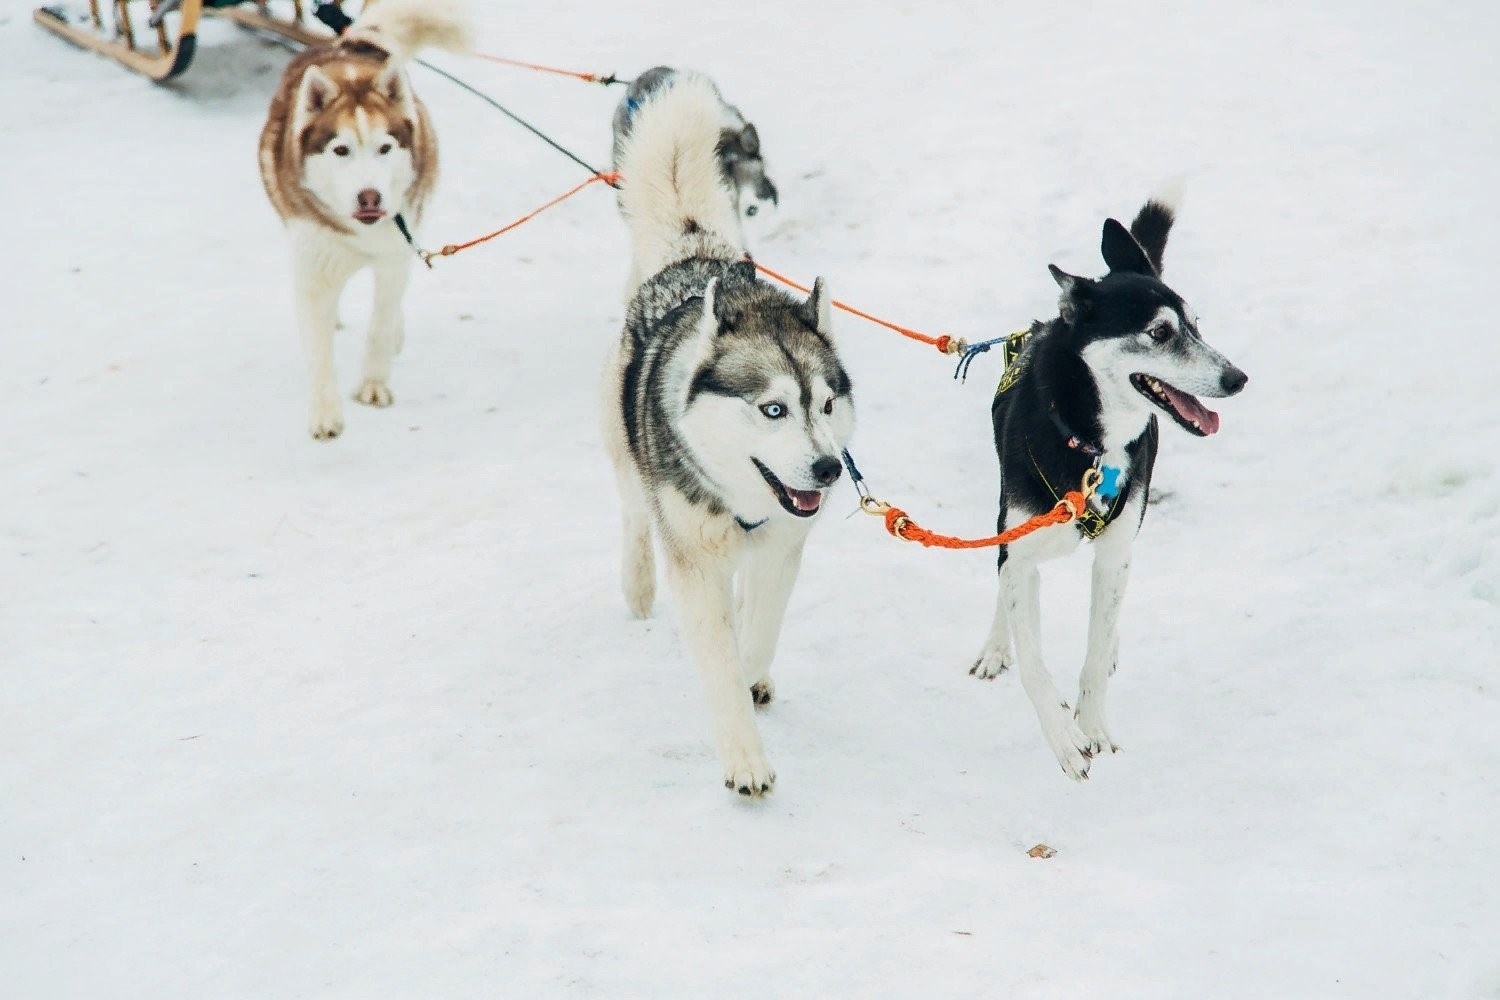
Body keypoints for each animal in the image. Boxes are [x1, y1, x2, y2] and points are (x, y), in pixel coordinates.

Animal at [966, 191, 1248, 779]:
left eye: (1197, 325)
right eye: (1160, 333)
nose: (1237, 378)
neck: (1091, 445)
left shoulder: (1116, 549)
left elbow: (1093, 655)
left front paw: (1092, 727)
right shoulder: (1019, 545)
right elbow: (1032, 657)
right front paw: (1064, 740)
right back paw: (997, 644)